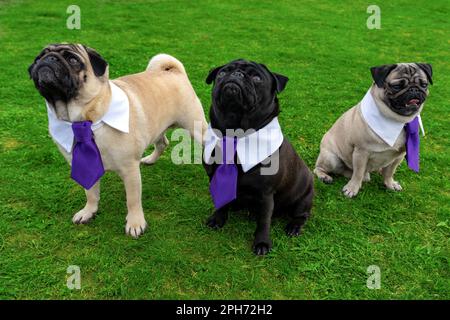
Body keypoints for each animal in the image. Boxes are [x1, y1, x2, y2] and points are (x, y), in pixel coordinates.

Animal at [29, 43, 208, 236]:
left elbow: (133, 199)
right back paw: (150, 159)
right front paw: (89, 211)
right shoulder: (84, 164)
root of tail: (173, 71)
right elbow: (90, 193)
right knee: (162, 143)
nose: (48, 59)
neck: (85, 119)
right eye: (39, 57)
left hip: (196, 126)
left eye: (73, 59)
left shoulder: (130, 170)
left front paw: (135, 223)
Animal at [203, 59, 312, 255]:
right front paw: (218, 219)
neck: (235, 134)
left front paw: (262, 242)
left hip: (303, 199)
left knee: (302, 215)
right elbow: (221, 202)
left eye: (256, 78)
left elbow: (264, 221)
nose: (236, 74)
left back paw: (294, 226)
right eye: (222, 73)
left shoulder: (266, 194)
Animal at [312, 62, 432, 198]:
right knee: (319, 168)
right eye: (396, 86)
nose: (414, 89)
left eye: (424, 84)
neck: (396, 121)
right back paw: (325, 176)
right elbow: (358, 173)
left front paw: (390, 184)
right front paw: (352, 188)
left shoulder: (399, 156)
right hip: (331, 158)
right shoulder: (361, 153)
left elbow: (390, 172)